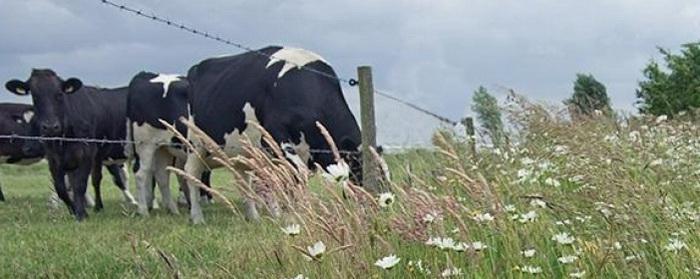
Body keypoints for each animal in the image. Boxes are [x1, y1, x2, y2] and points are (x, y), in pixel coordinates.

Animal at [5, 70, 137, 221]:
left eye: (59, 94)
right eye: (35, 96)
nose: (50, 127)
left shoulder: (86, 153)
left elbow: (79, 185)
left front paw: (81, 214)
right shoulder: (54, 159)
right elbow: (62, 188)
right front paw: (74, 209)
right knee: (97, 178)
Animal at [126, 71, 212, 217]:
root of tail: (144, 75)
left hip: (163, 148)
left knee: (161, 176)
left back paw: (173, 210)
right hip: (145, 145)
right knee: (141, 174)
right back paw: (144, 210)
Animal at [180, 46, 366, 225]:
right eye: (359, 171)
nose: (369, 213)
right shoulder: (275, 136)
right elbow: (295, 174)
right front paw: (295, 216)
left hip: (242, 150)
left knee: (243, 179)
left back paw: (253, 217)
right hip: (196, 143)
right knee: (192, 173)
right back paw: (197, 217)